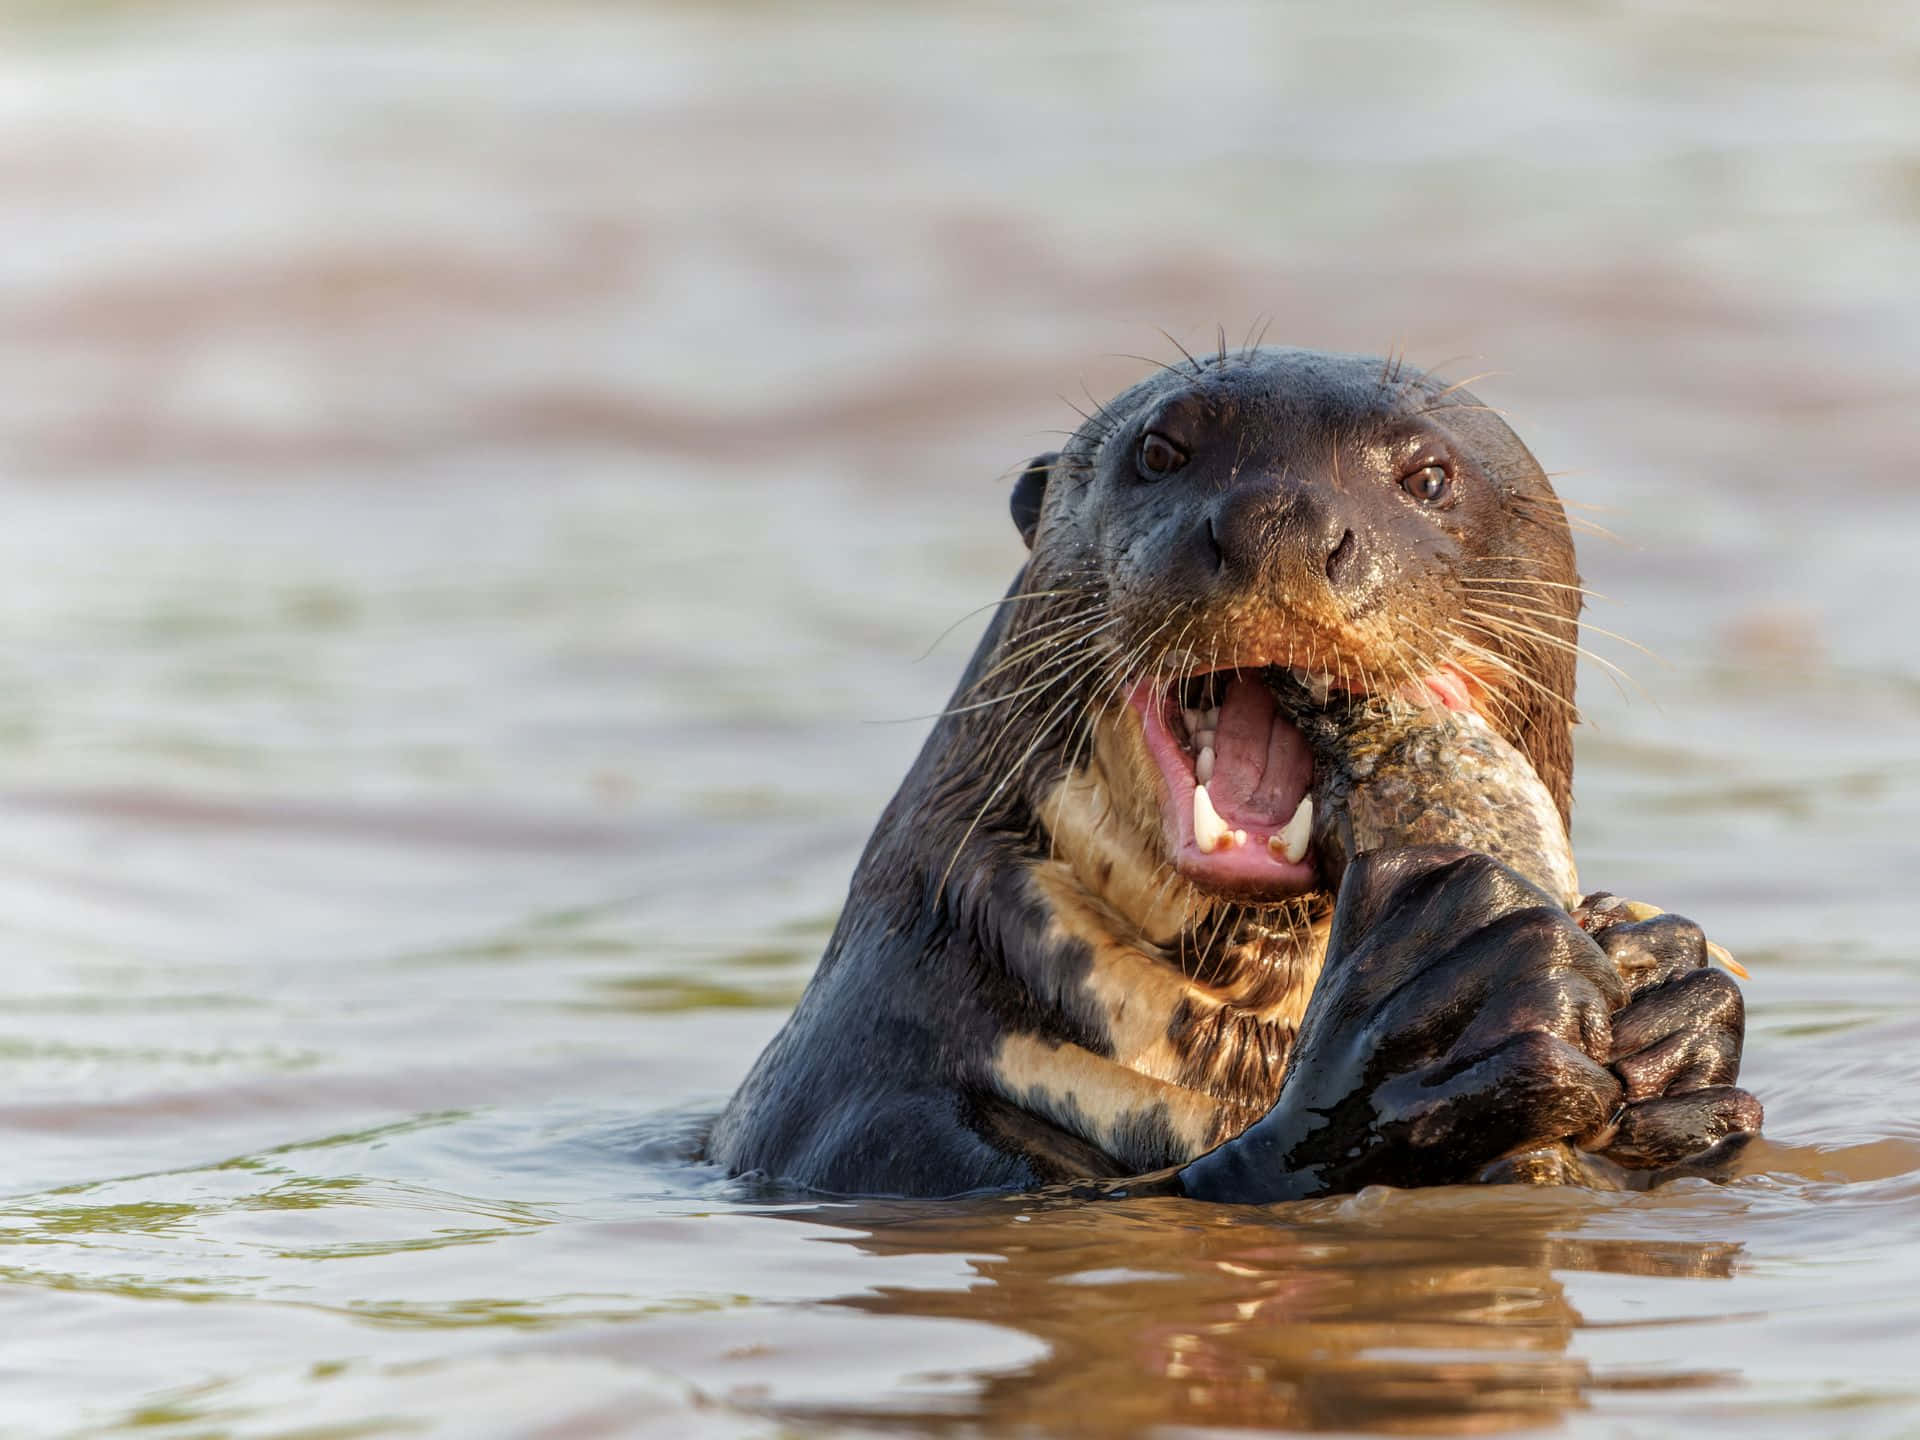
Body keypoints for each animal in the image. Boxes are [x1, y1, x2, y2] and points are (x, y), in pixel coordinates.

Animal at [714, 343, 1758, 1198]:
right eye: (1159, 450)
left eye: (1428, 477)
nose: (1283, 519)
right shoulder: (877, 1121)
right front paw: (1431, 1028)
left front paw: (1673, 1009)